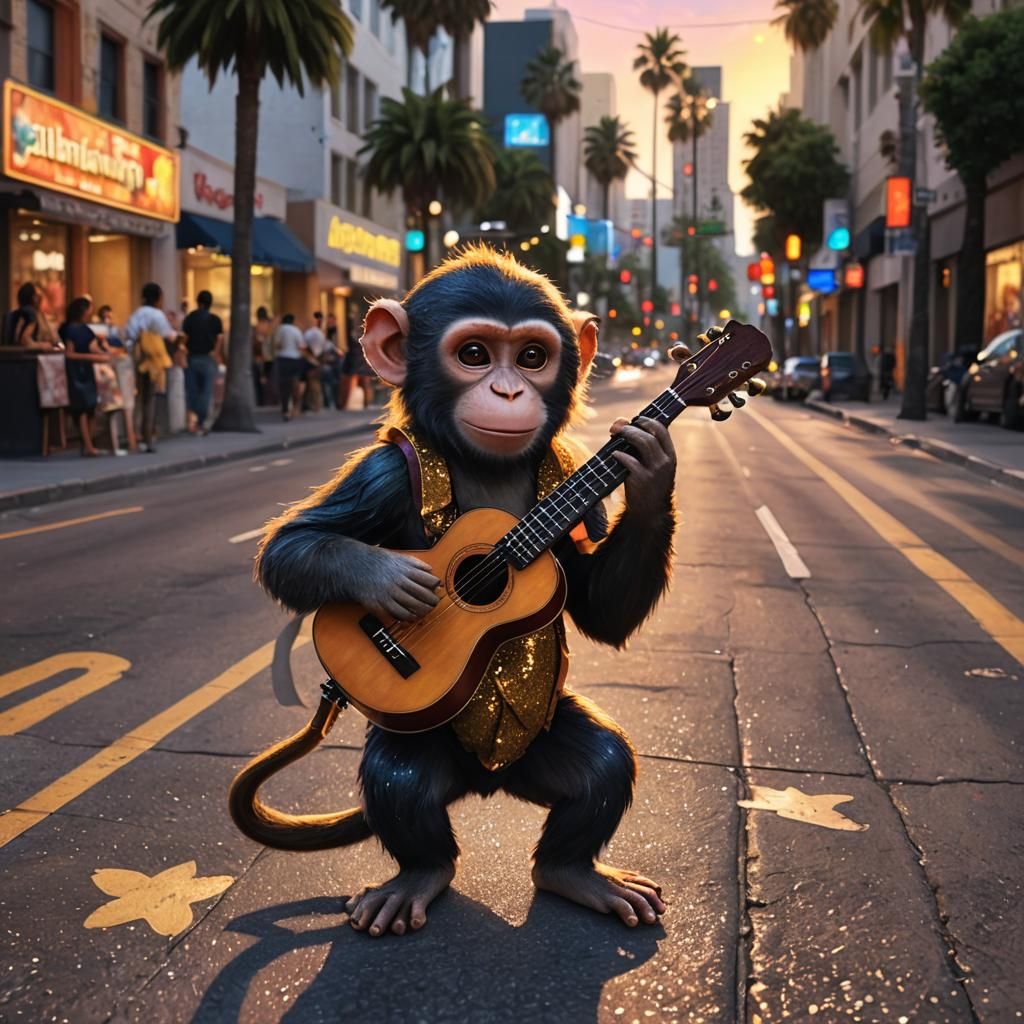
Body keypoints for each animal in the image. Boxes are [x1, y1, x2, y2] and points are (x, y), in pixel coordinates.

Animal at [232, 244, 680, 938]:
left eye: (533, 357)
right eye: (473, 354)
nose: (507, 390)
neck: (488, 468)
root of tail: (482, 785)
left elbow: (601, 610)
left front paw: (653, 462)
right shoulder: (384, 473)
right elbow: (291, 542)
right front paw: (394, 583)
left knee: (605, 764)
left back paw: (578, 875)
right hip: (413, 747)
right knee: (400, 783)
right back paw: (415, 880)